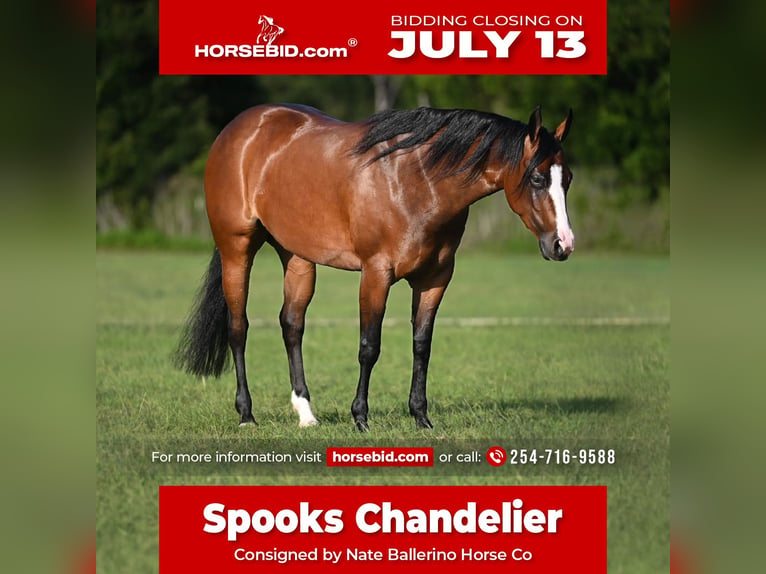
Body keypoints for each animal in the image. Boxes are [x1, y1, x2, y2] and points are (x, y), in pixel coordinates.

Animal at [174, 103, 574, 431]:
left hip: (298, 258)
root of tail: (240, 128)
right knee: (238, 327)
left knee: (291, 325)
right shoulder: (375, 275)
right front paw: (361, 417)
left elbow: (421, 346)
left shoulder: (434, 279)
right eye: (537, 178)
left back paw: (306, 414)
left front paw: (421, 417)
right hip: (237, 250)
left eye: (566, 178)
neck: (418, 181)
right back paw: (246, 414)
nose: (564, 245)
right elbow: (369, 346)